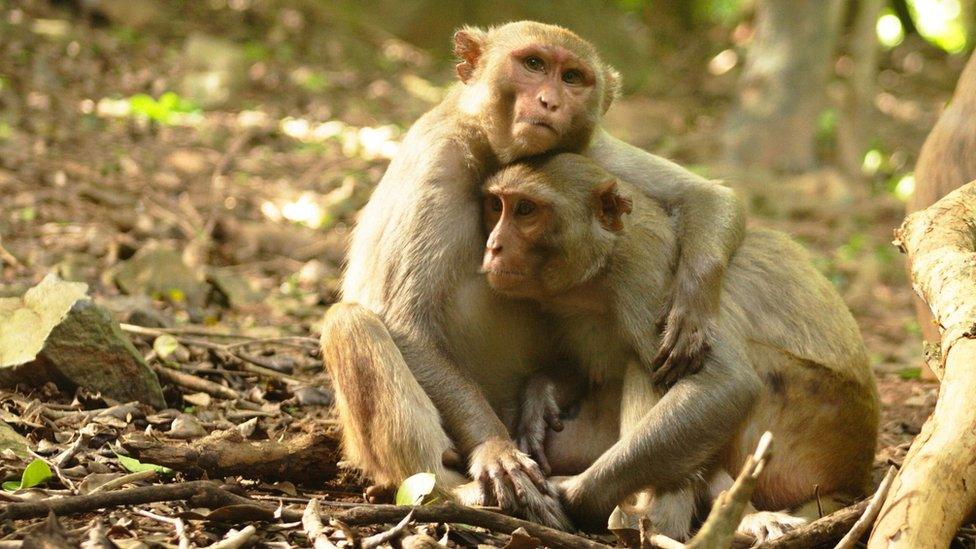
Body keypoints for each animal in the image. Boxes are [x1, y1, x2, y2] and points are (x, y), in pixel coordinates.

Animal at [321, 21, 745, 528]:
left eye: (573, 77)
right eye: (534, 65)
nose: (549, 101)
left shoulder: (591, 150)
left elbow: (708, 197)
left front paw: (690, 312)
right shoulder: (437, 157)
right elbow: (404, 320)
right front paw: (495, 449)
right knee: (351, 323)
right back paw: (452, 491)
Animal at [480, 153, 880, 539]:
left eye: (525, 210)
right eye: (496, 206)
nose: (493, 246)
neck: (600, 269)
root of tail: (855, 476)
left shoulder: (646, 277)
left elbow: (726, 382)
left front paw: (571, 496)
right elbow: (587, 371)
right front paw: (540, 396)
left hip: (813, 421)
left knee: (653, 369)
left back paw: (658, 521)